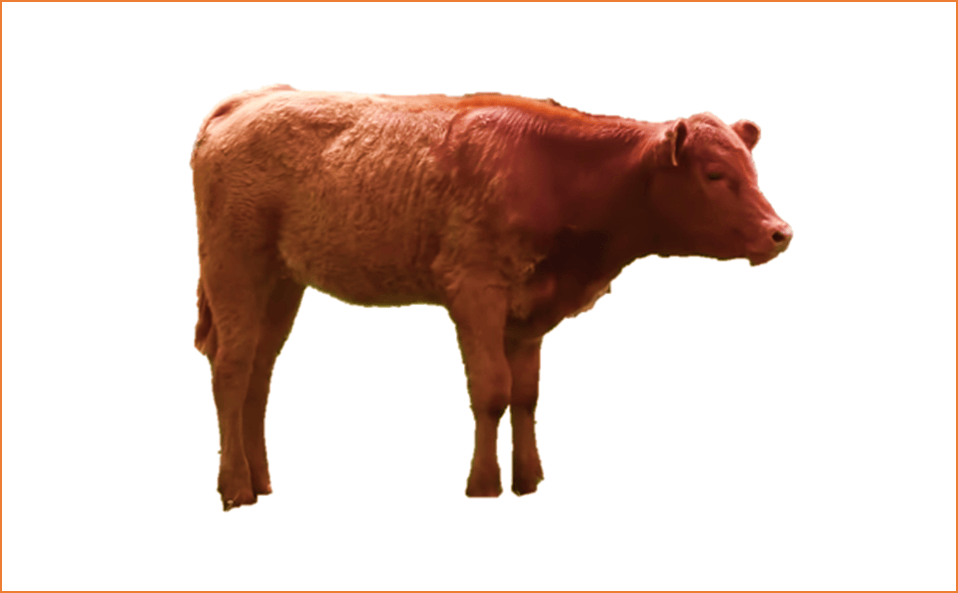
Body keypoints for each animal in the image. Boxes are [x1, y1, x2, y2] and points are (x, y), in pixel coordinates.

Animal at [191, 84, 792, 510]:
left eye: (751, 168)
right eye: (714, 174)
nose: (779, 233)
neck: (556, 173)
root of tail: (247, 100)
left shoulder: (529, 310)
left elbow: (526, 395)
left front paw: (529, 479)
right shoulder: (475, 289)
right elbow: (491, 391)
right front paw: (483, 484)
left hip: (281, 281)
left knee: (259, 375)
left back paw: (262, 480)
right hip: (234, 265)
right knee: (231, 369)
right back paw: (235, 488)